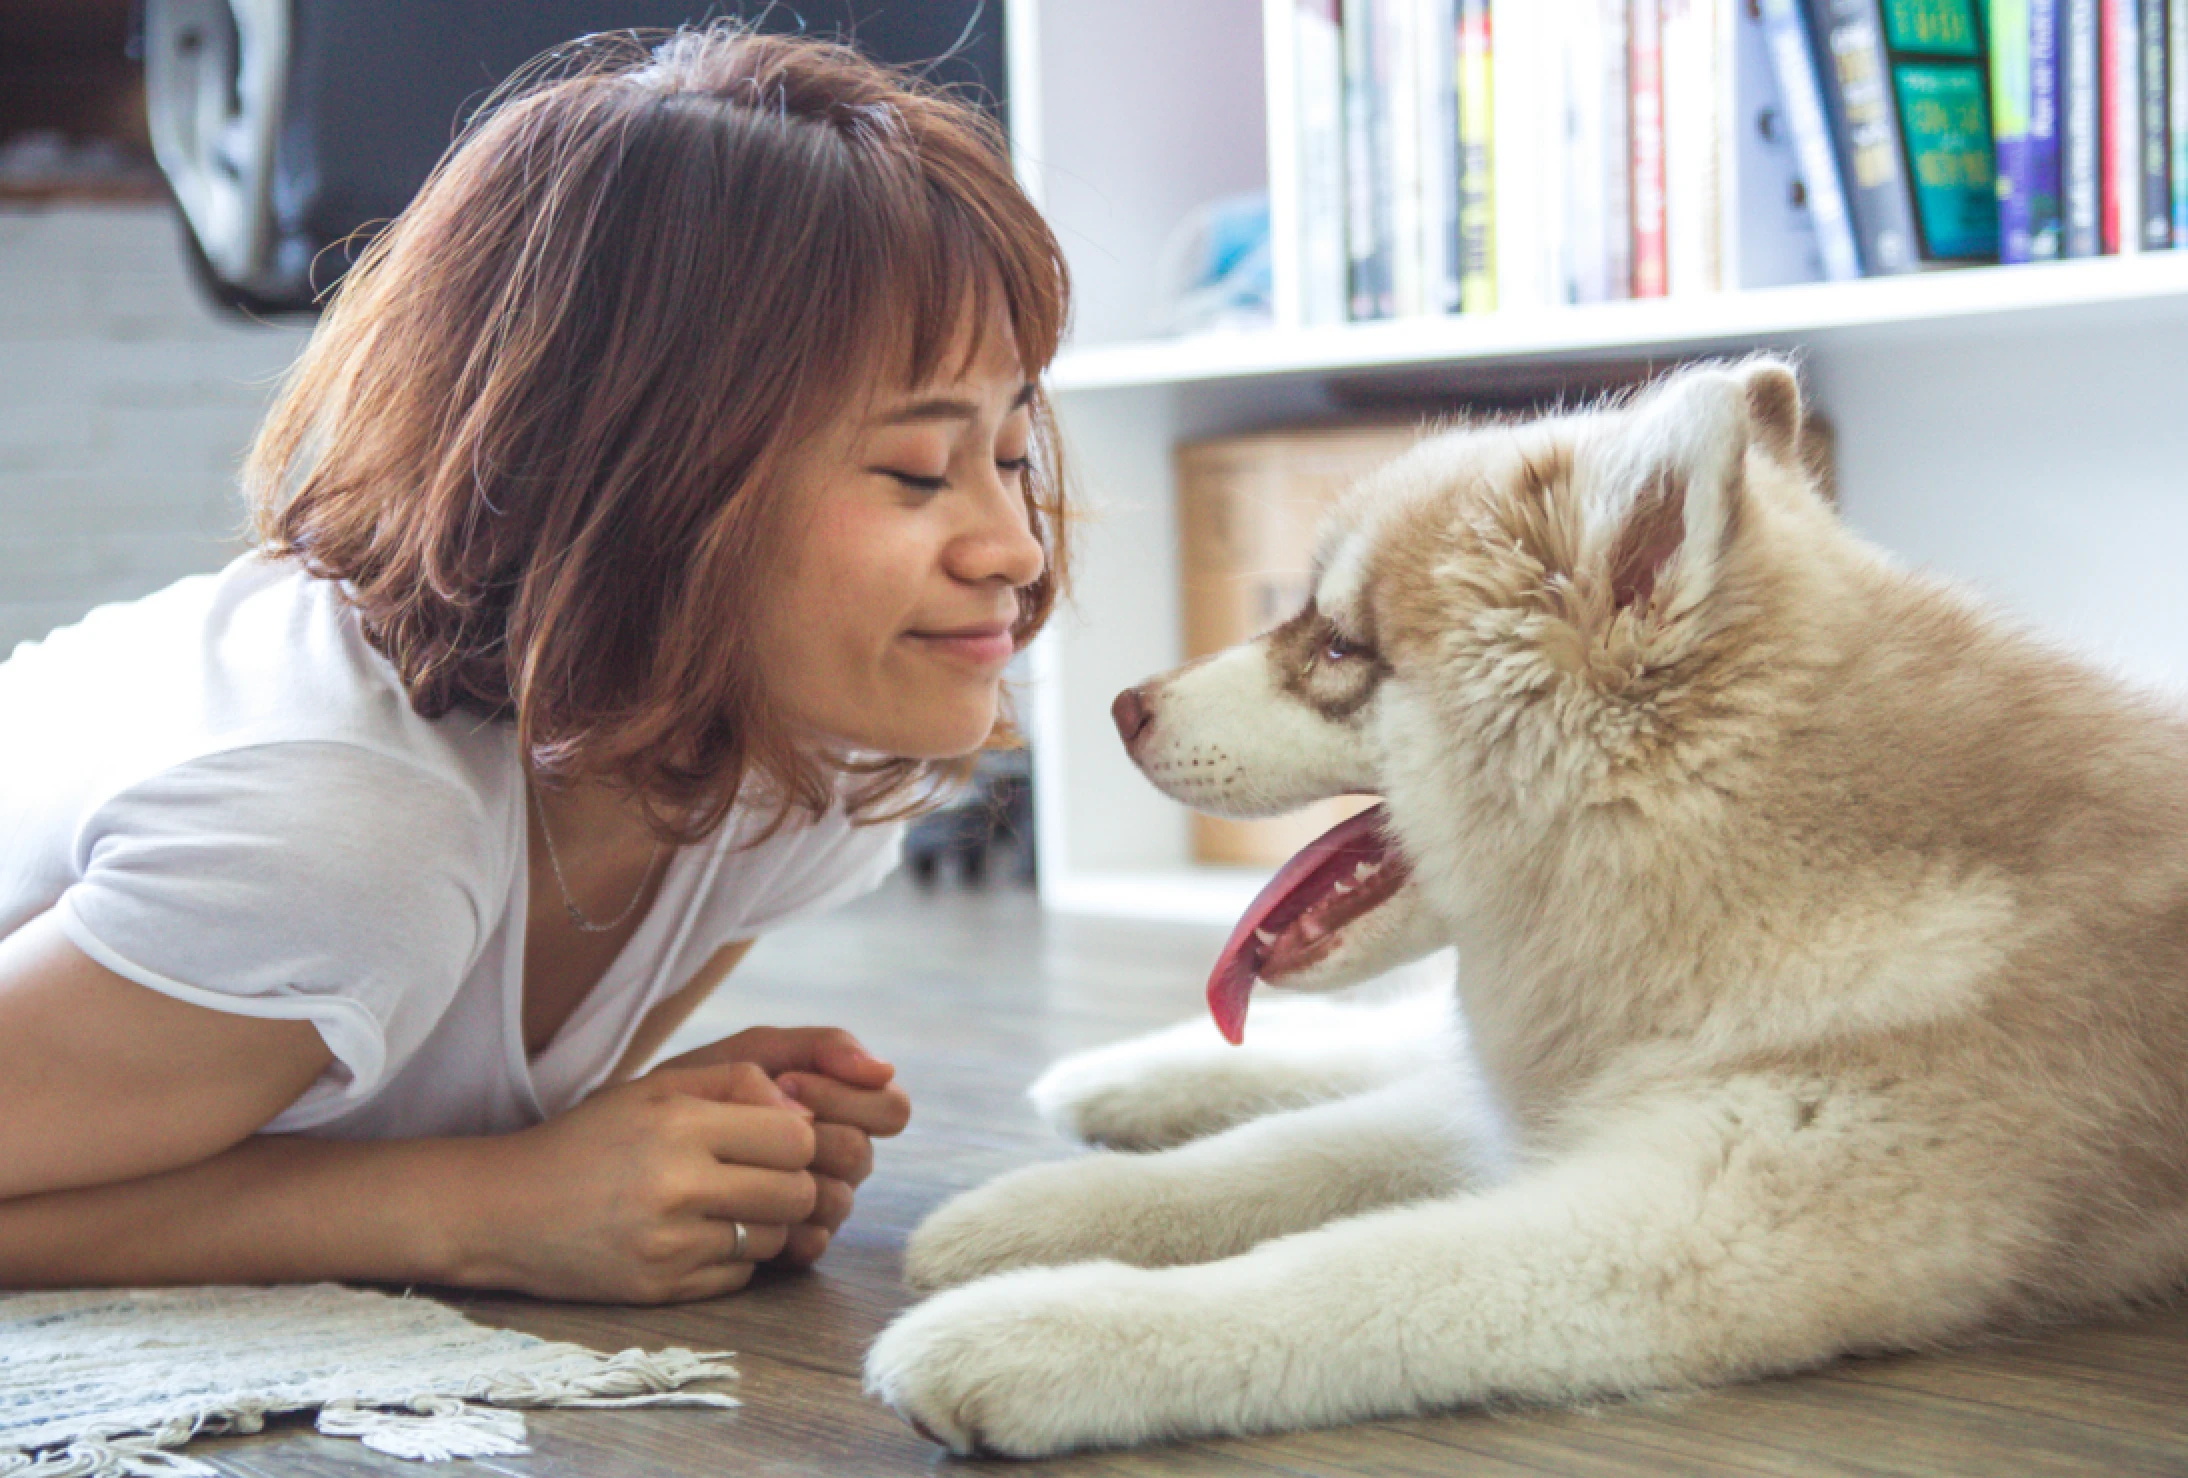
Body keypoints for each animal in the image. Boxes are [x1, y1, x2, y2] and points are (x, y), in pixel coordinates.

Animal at [857, 354, 2188, 1451]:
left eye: (1335, 647)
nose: (1120, 706)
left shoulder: (1685, 1224)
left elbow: (1341, 1272)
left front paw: (1037, 1331)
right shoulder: (1563, 1108)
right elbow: (1280, 1156)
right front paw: (1039, 1209)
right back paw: (1124, 1079)